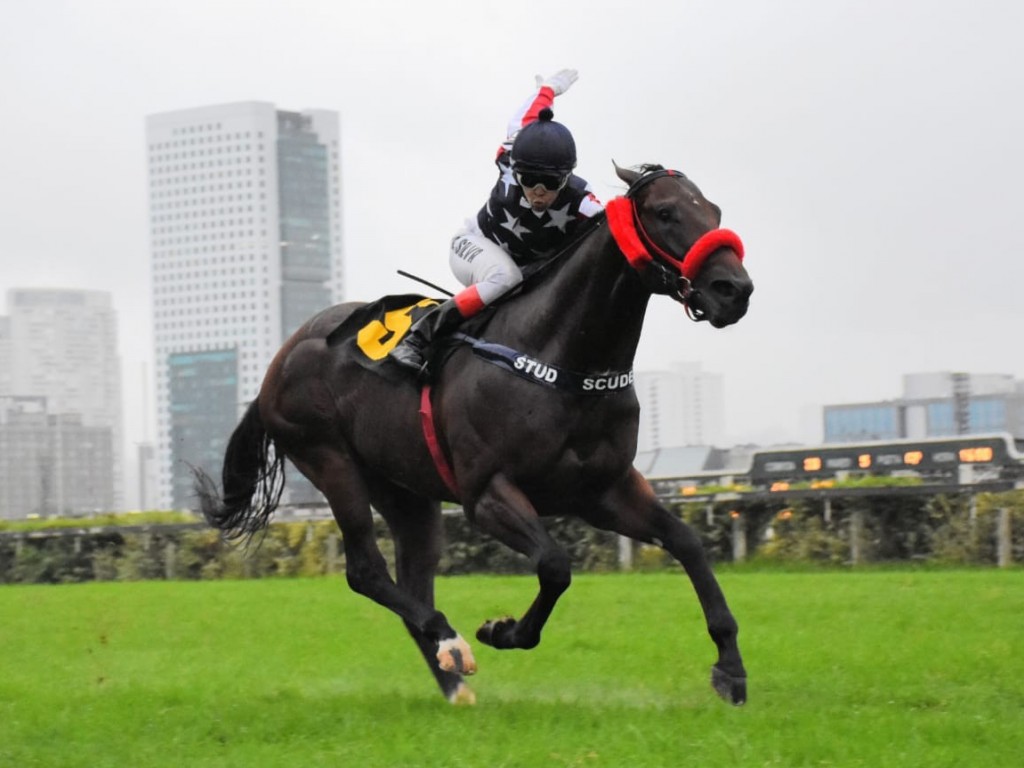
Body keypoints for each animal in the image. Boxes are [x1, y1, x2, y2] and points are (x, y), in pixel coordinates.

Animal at [193, 165, 753, 708]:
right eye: (665, 212)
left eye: (715, 211)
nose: (735, 290)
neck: (561, 358)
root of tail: (280, 360)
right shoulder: (487, 494)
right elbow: (555, 565)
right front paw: (501, 631)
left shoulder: (603, 491)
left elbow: (686, 542)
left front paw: (730, 669)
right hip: (330, 460)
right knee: (366, 571)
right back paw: (452, 641)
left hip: (404, 491)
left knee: (413, 582)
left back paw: (454, 683)